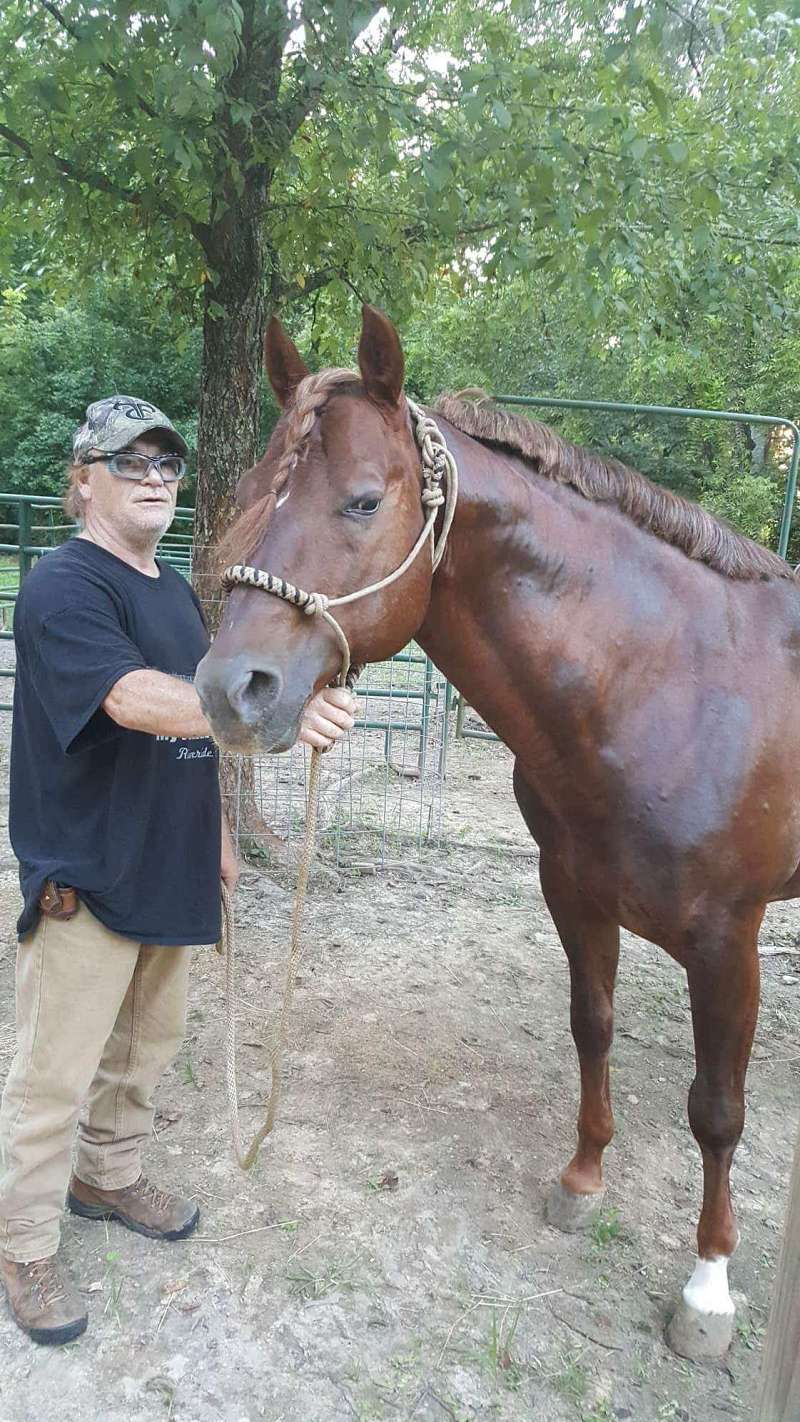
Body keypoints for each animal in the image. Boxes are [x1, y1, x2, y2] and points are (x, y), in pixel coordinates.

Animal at [195, 305, 800, 1360]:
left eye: (361, 502)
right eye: (253, 491)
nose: (232, 690)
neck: (670, 685)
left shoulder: (730, 942)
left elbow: (718, 1111)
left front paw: (708, 1292)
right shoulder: (574, 893)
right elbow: (592, 1026)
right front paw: (582, 1181)